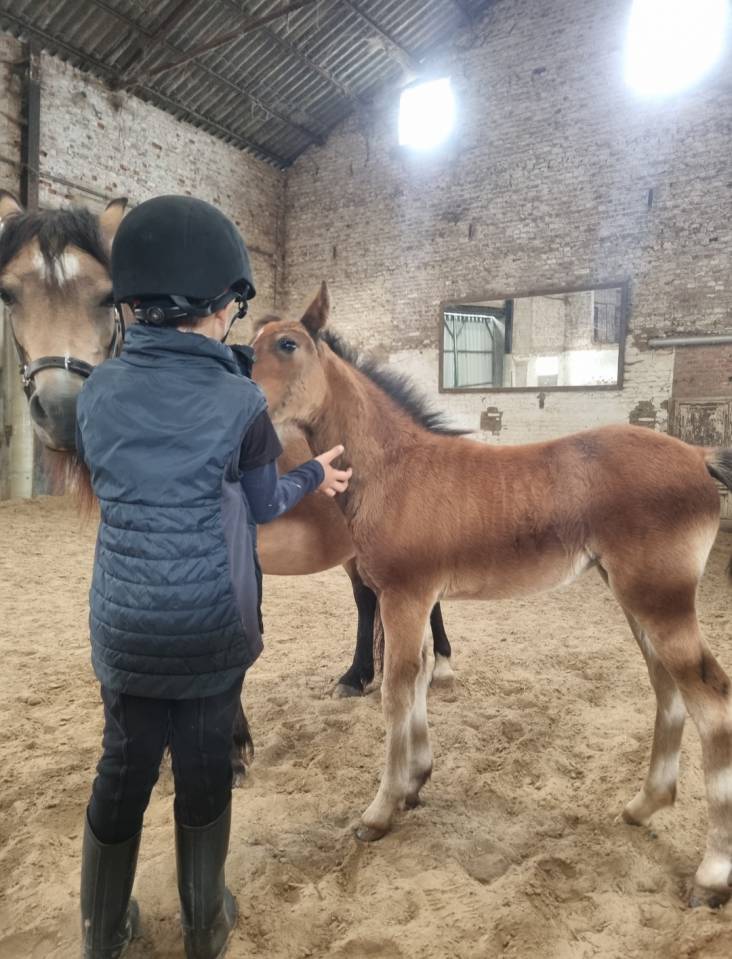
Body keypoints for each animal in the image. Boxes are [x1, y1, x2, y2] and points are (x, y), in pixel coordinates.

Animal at [251, 281, 732, 907]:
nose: (243, 407)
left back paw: (711, 874)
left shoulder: (404, 595)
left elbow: (397, 691)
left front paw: (379, 811)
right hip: (637, 600)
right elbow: (420, 678)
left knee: (711, 700)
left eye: (287, 344)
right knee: (665, 686)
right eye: (249, 343)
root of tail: (698, 456)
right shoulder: (417, 598)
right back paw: (644, 804)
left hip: (660, 599)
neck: (396, 470)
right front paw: (415, 782)